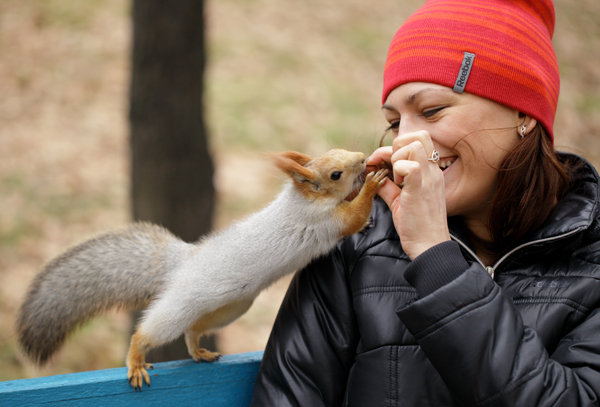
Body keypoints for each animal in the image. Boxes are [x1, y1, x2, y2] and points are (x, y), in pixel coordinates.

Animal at [16, 148, 390, 390]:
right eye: (336, 174)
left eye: (339, 149)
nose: (362, 157)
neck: (305, 199)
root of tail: (182, 263)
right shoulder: (323, 222)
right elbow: (352, 216)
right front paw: (374, 182)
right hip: (182, 304)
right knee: (150, 331)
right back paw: (136, 360)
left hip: (232, 306)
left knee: (194, 329)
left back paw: (198, 350)